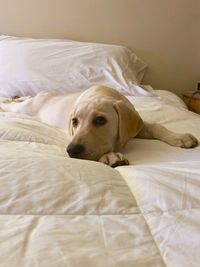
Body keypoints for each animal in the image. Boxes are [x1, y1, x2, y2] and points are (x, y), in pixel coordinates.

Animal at [1, 87, 198, 168]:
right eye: (74, 121)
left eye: (100, 120)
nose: (71, 150)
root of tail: (42, 95)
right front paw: (110, 156)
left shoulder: (137, 126)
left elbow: (158, 126)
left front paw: (179, 137)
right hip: (25, 108)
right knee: (9, 105)